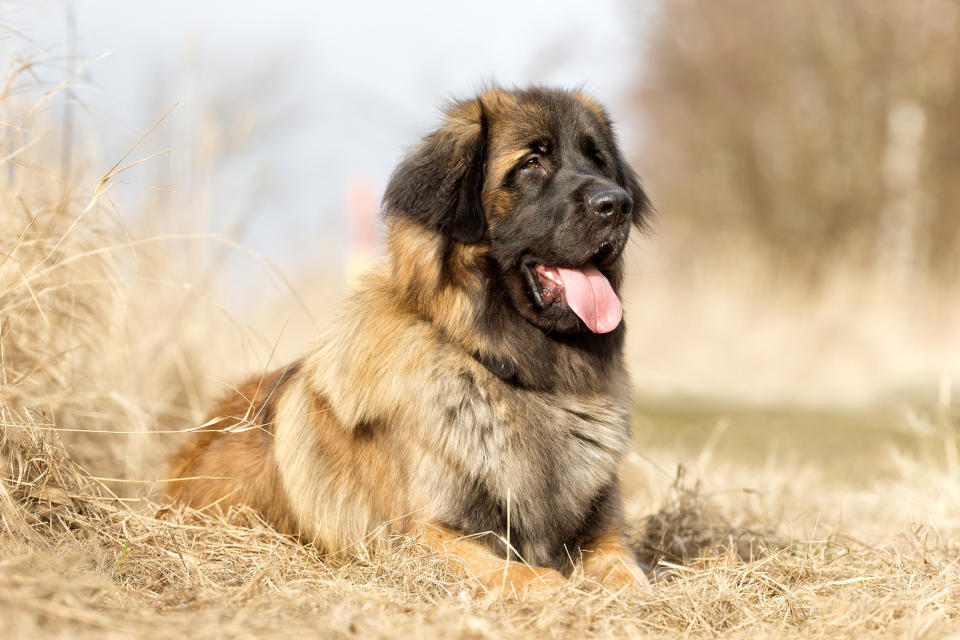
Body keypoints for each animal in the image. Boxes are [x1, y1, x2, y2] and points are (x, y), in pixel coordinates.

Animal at [171, 86, 652, 596]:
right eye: (531, 163)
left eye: (598, 162)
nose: (616, 204)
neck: (518, 374)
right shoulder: (422, 534)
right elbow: (522, 572)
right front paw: (556, 586)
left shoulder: (605, 533)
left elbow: (628, 571)